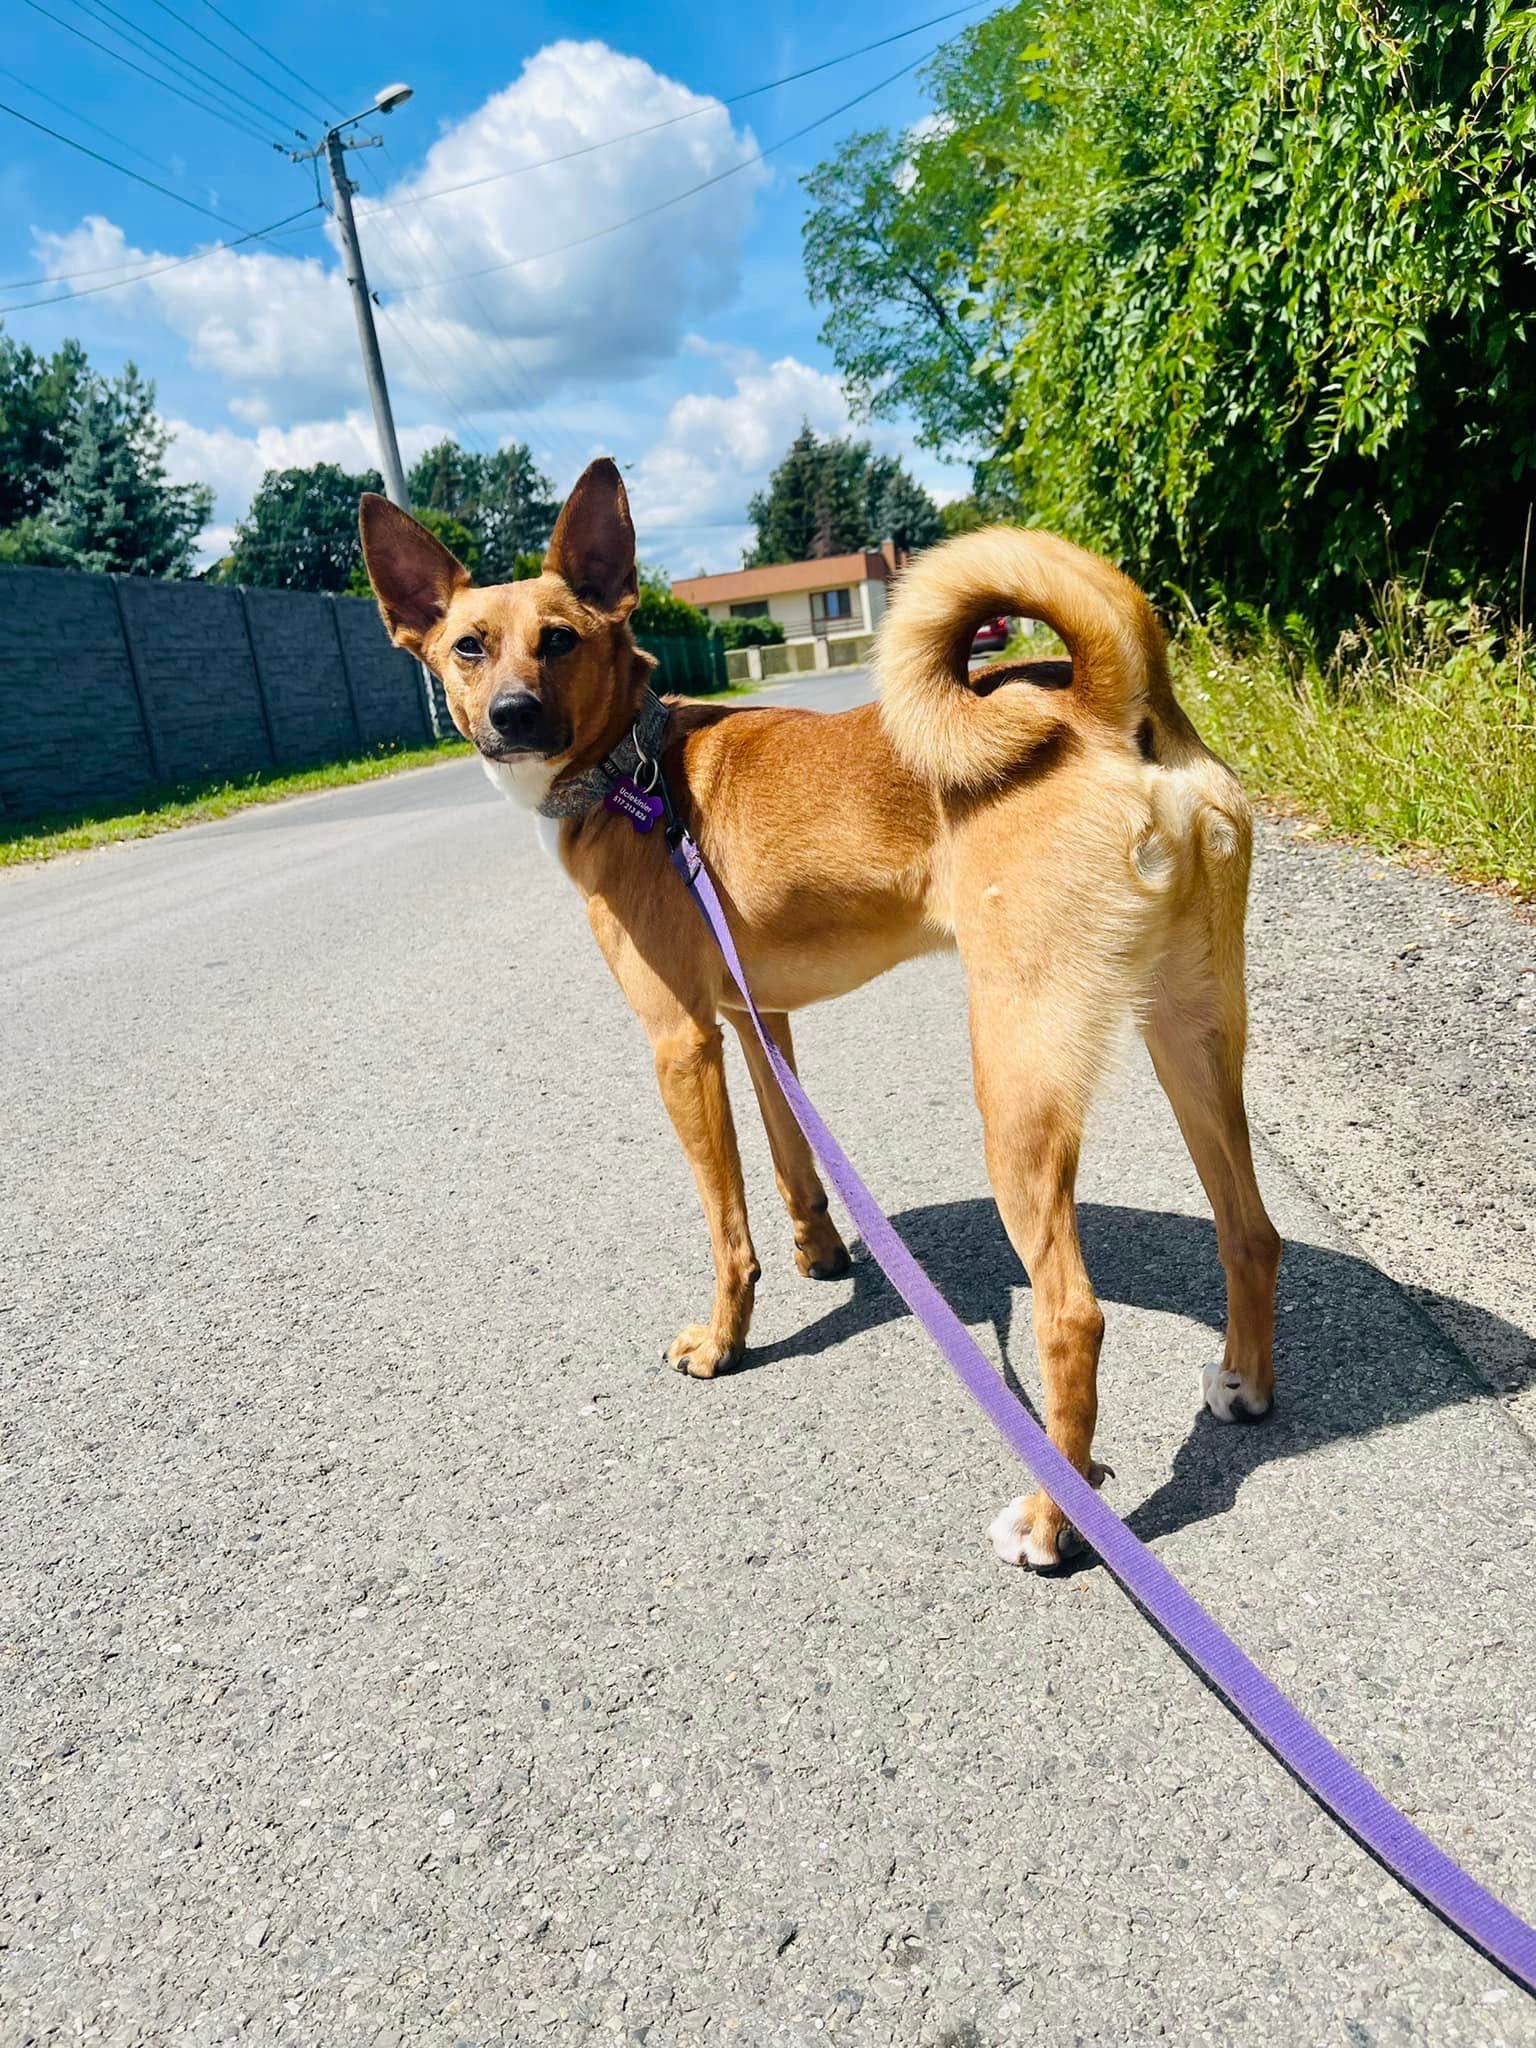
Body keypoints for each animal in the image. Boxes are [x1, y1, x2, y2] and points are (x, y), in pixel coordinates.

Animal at [364, 452, 1286, 1564]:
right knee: (1253, 1231)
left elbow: (727, 1226)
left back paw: (1054, 1518)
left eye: (560, 640)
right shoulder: (760, 1021)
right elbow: (790, 1161)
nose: (509, 713)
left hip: (1018, 1080)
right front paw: (821, 1253)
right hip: (1191, 1040)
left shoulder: (682, 1043)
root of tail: (1109, 706)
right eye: (467, 645)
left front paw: (724, 1342)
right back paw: (1244, 1385)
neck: (637, 766)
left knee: (1074, 1313)